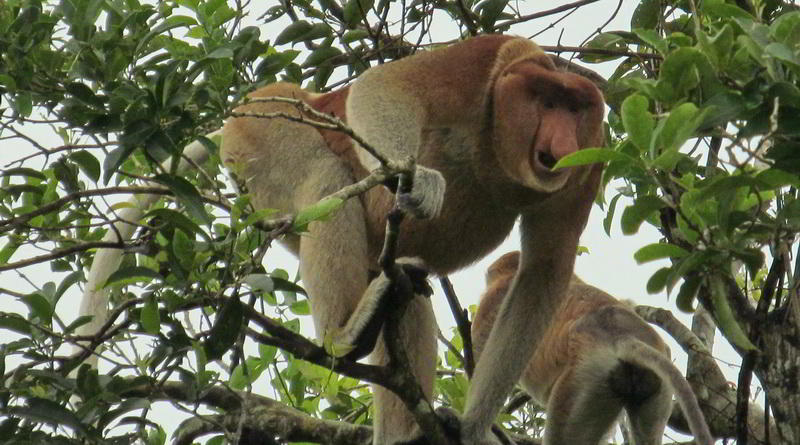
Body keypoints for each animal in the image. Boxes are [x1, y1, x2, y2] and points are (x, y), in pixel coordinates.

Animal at [83, 35, 608, 444]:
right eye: (546, 101)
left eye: (575, 107)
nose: (562, 139)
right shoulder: (480, 64)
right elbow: (387, 85)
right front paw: (417, 181)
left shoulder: (589, 157)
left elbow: (543, 271)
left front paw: (473, 429)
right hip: (267, 129)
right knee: (325, 174)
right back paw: (343, 337)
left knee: (408, 283)